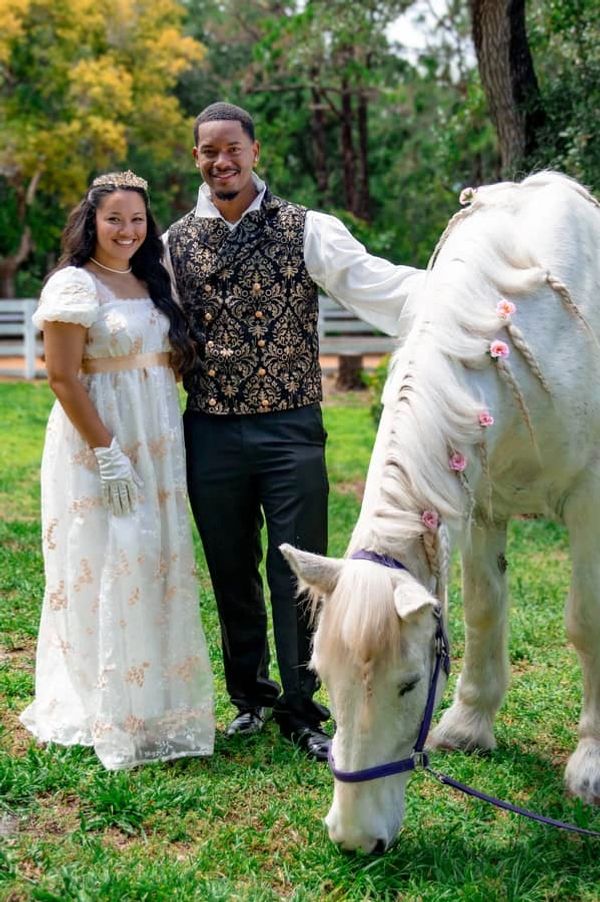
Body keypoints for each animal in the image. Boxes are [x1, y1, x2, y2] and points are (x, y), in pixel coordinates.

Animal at [284, 173, 600, 860]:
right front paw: (468, 725)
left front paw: (592, 762)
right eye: (322, 677)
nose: (354, 839)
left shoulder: (591, 502)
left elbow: (587, 624)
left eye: (407, 684)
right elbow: (483, 610)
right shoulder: (481, 502)